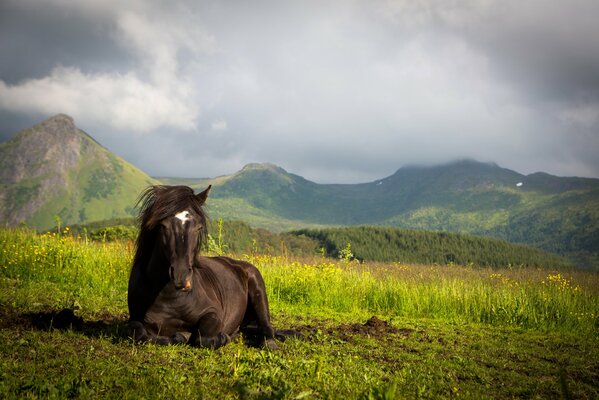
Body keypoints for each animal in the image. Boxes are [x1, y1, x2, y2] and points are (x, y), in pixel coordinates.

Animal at [126, 184, 284, 346]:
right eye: (163, 226)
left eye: (199, 227)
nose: (182, 276)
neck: (168, 296)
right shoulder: (135, 318)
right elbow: (138, 332)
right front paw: (179, 336)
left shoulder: (212, 313)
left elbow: (203, 338)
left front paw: (223, 337)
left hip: (258, 289)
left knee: (266, 326)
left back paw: (267, 342)